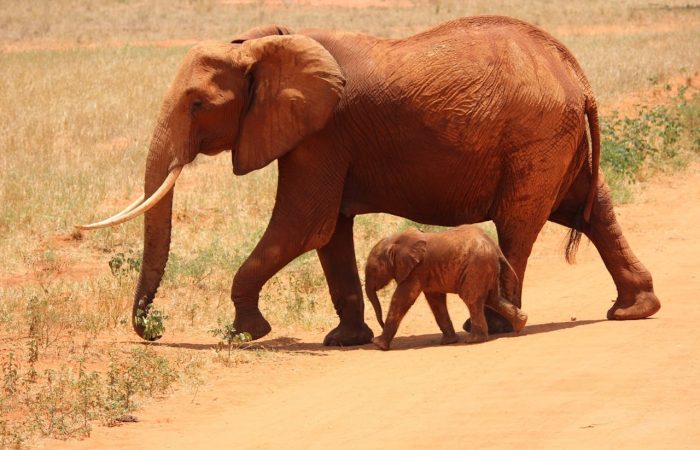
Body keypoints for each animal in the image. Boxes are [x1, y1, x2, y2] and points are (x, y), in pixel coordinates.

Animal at [366, 225, 524, 352]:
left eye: (373, 269)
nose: (380, 325)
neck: (396, 240)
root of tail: (496, 248)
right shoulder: (426, 272)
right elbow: (436, 301)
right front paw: (449, 341)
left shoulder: (417, 270)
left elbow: (401, 299)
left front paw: (378, 345)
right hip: (486, 267)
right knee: (492, 298)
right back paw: (521, 323)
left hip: (477, 267)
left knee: (472, 299)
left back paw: (474, 340)